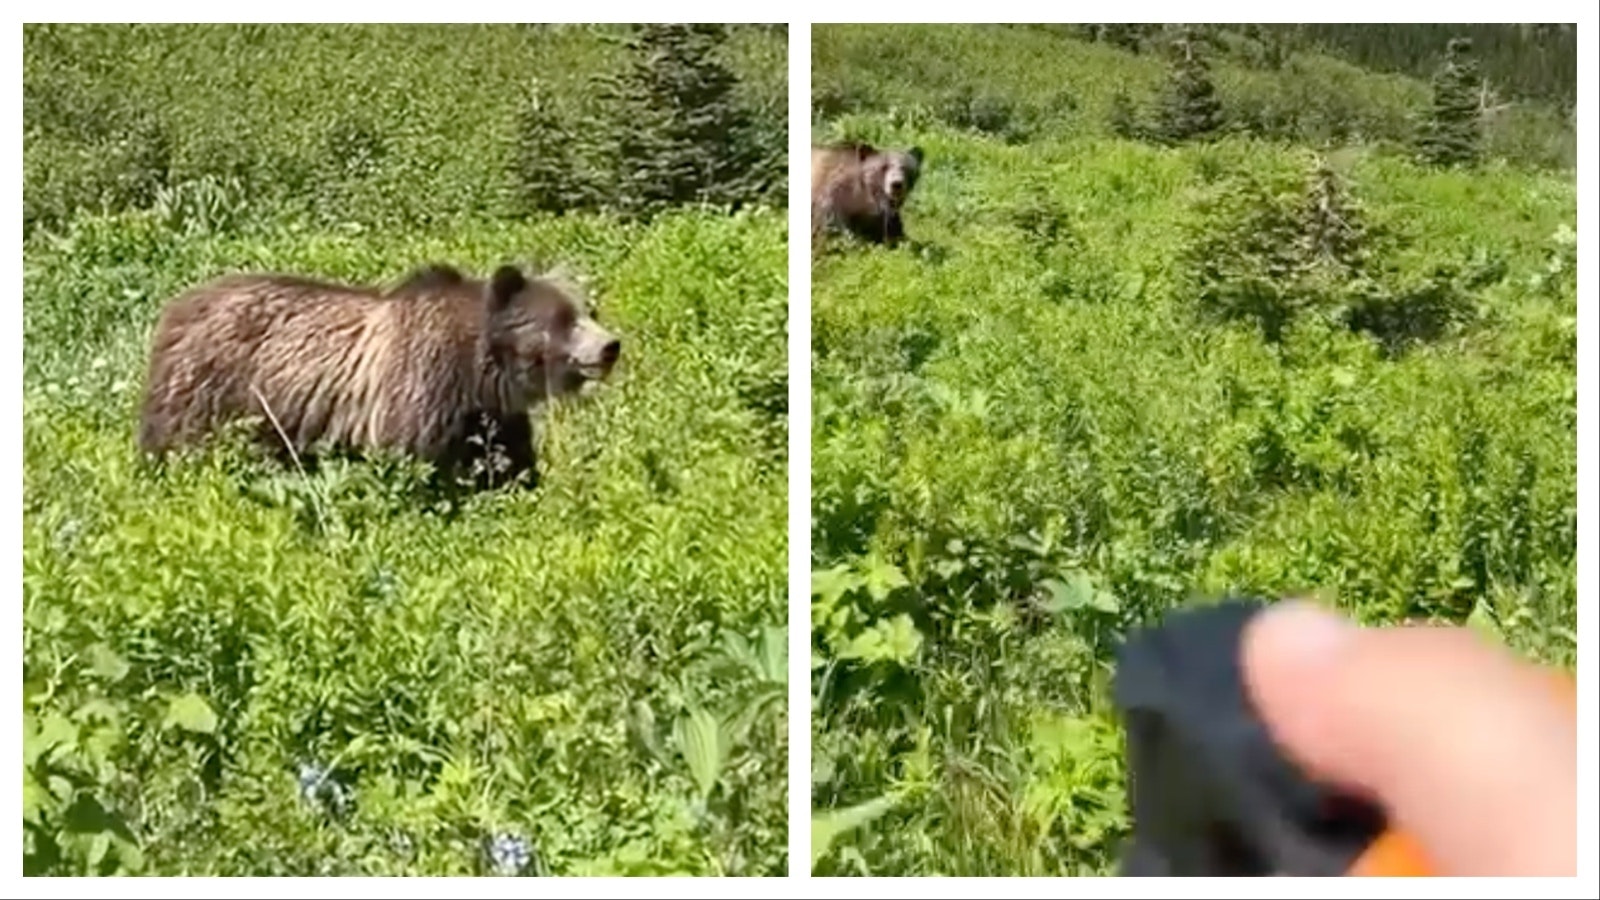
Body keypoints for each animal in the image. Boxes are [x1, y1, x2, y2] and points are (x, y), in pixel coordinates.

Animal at [136, 261, 621, 491]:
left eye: (589, 310)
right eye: (562, 319)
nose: (610, 345)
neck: (478, 374)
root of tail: (172, 309)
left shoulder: (493, 418)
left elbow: (508, 467)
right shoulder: (419, 388)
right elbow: (413, 465)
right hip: (208, 396)